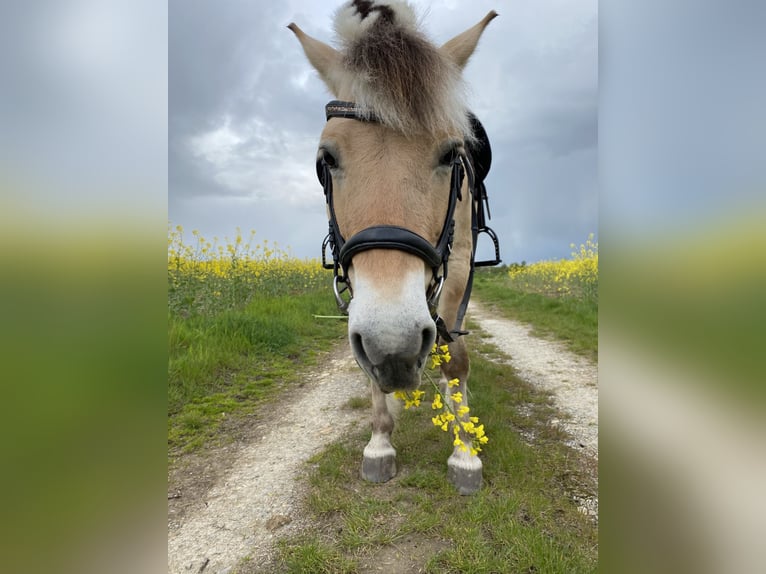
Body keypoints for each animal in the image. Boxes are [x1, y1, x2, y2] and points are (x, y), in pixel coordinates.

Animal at [289, 1, 499, 495]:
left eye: (451, 154)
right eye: (326, 158)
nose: (395, 350)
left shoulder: (458, 263)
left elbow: (455, 358)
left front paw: (465, 451)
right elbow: (367, 369)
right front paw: (380, 442)